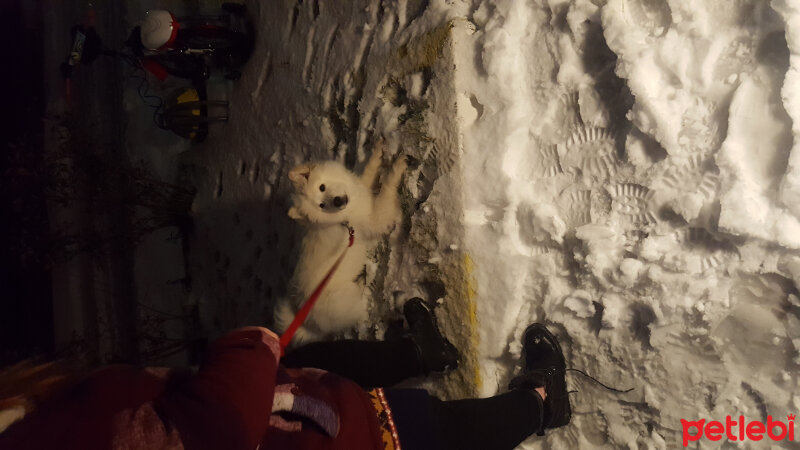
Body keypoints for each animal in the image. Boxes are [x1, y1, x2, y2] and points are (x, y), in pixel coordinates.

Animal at [278, 142, 410, 346]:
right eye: (321, 205)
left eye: (322, 187)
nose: (338, 201)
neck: (342, 219)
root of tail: (308, 323)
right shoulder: (376, 218)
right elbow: (387, 189)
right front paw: (397, 167)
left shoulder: (361, 189)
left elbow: (367, 174)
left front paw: (377, 154)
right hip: (348, 301)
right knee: (367, 311)